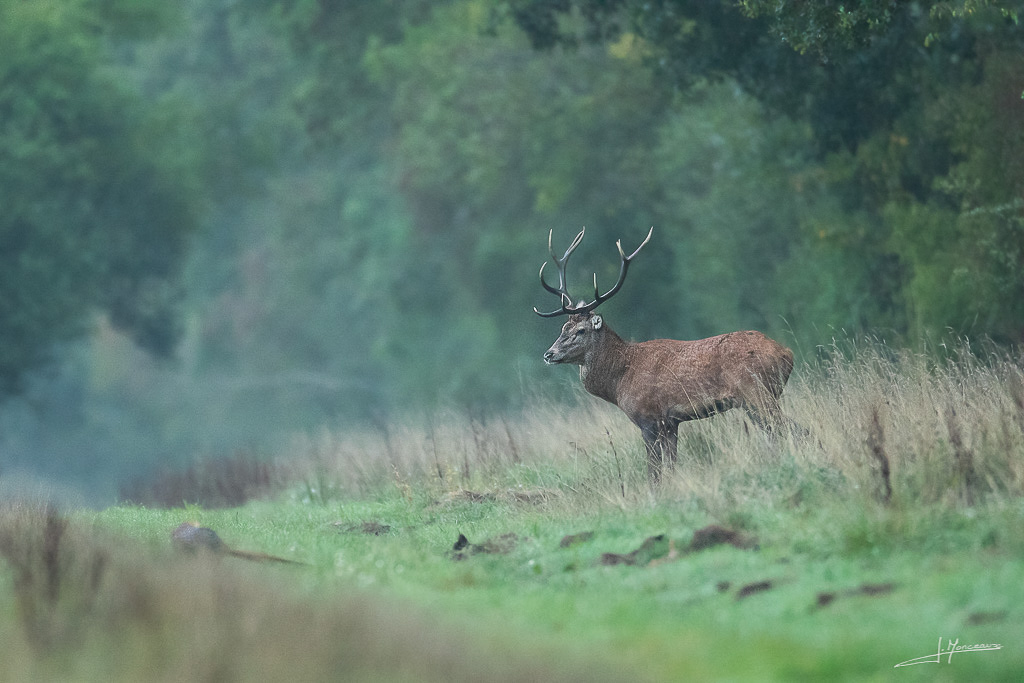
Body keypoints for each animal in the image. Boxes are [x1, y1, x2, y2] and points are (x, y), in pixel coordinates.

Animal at [534, 227, 795, 482]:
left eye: (580, 330)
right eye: (562, 328)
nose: (549, 354)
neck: (620, 380)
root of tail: (786, 353)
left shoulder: (649, 418)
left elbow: (654, 472)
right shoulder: (671, 422)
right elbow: (671, 466)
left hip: (756, 393)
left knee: (789, 430)